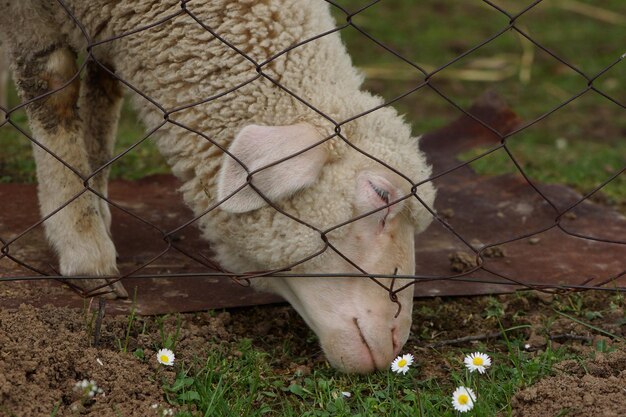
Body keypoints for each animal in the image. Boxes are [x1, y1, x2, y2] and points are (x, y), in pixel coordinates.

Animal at [1, 0, 434, 370]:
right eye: (381, 195)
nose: (395, 345)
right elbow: (54, 89)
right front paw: (84, 247)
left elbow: (101, 110)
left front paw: (95, 209)